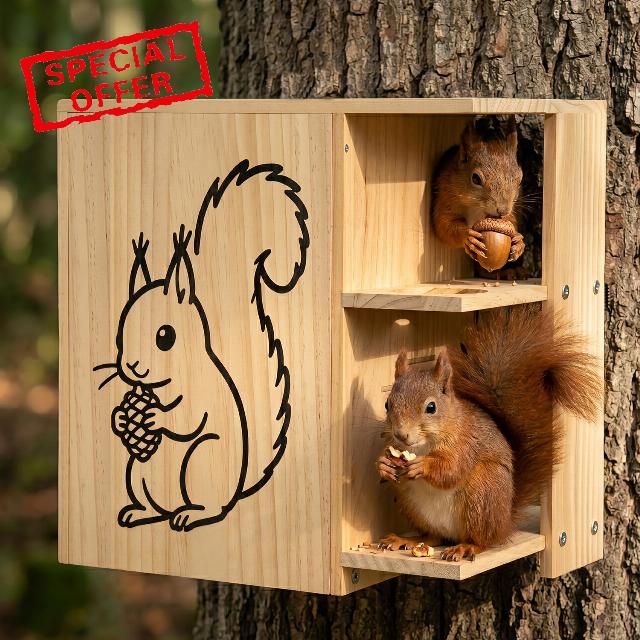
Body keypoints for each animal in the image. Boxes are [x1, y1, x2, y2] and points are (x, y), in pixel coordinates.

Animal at [95, 160, 309, 532]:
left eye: (165, 336)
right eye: (119, 336)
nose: (133, 367)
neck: (162, 385)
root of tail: (236, 491)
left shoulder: (203, 391)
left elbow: (190, 418)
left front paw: (156, 416)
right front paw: (123, 418)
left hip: (201, 461)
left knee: (210, 506)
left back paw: (191, 513)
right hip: (137, 472)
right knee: (153, 505)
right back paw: (141, 511)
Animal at [376, 306, 601, 561]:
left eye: (431, 407)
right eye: (387, 404)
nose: (401, 435)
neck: (424, 445)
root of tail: (505, 522)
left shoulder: (466, 442)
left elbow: (452, 469)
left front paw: (422, 465)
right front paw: (384, 464)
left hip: (483, 491)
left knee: (483, 540)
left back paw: (466, 547)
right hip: (412, 504)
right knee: (433, 536)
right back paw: (406, 540)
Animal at [431, 116, 525, 268]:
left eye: (520, 178)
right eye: (475, 178)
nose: (503, 210)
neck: (475, 206)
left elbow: (510, 222)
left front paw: (518, 241)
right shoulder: (445, 195)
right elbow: (444, 226)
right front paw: (468, 236)